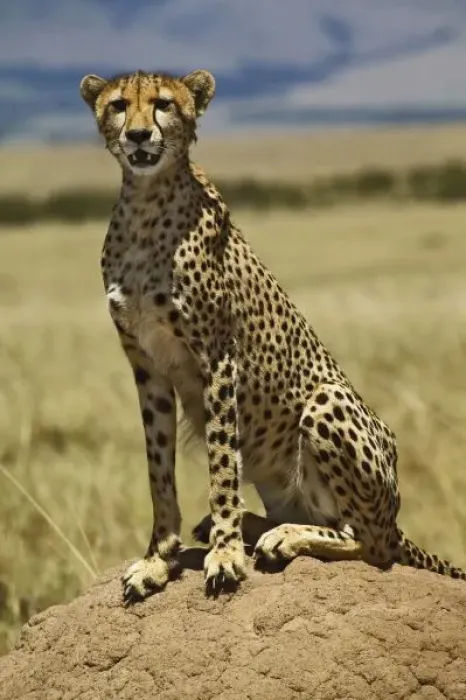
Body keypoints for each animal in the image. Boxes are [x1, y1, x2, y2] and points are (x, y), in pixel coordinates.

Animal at [79, 67, 466, 603]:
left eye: (162, 104)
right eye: (118, 105)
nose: (138, 136)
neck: (145, 204)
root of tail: (397, 516)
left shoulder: (217, 358)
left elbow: (222, 463)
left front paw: (224, 556)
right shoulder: (147, 368)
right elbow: (159, 470)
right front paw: (159, 559)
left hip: (328, 401)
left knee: (371, 543)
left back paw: (279, 536)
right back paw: (248, 524)